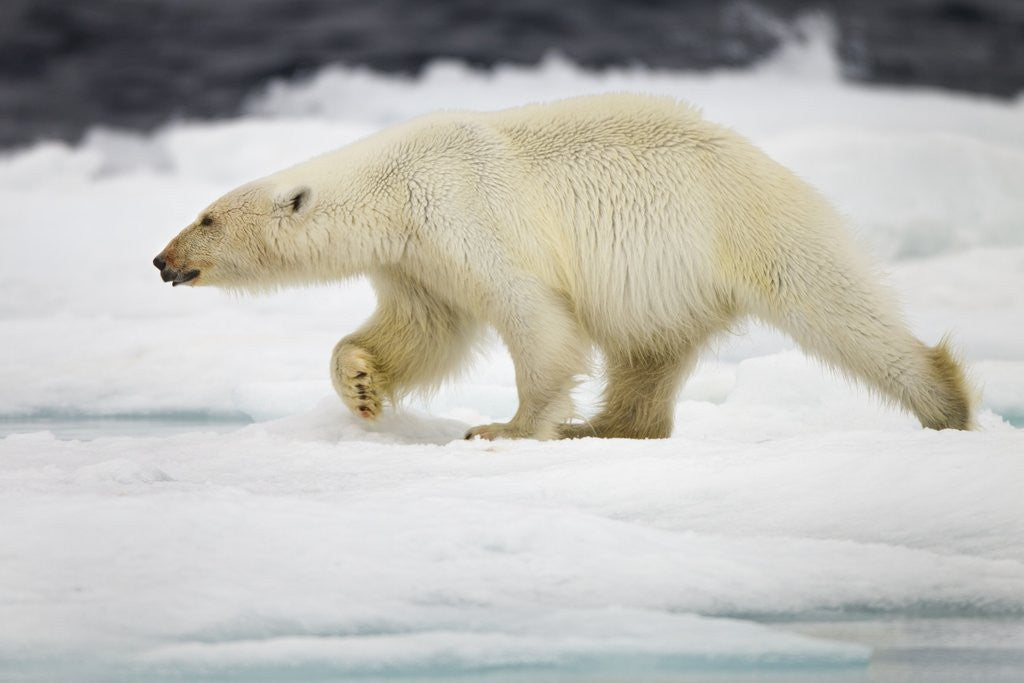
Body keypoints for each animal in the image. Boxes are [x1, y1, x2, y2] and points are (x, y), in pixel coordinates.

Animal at [154, 93, 975, 439]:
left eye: (206, 218)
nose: (162, 261)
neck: (394, 184)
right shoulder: (416, 257)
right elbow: (424, 329)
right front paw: (360, 384)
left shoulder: (466, 208)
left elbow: (532, 314)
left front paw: (506, 428)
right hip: (668, 278)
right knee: (649, 351)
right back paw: (609, 427)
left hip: (749, 224)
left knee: (840, 309)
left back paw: (947, 405)